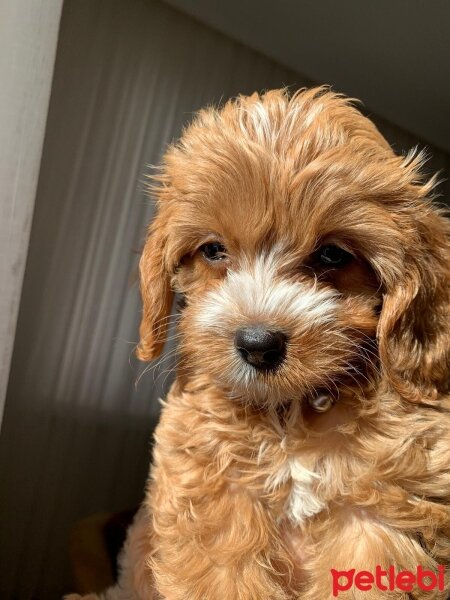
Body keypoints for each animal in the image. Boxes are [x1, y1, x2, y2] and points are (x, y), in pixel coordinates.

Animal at [69, 85, 450, 600]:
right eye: (213, 250)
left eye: (333, 255)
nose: (257, 344)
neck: (291, 416)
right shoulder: (213, 493)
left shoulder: (380, 513)